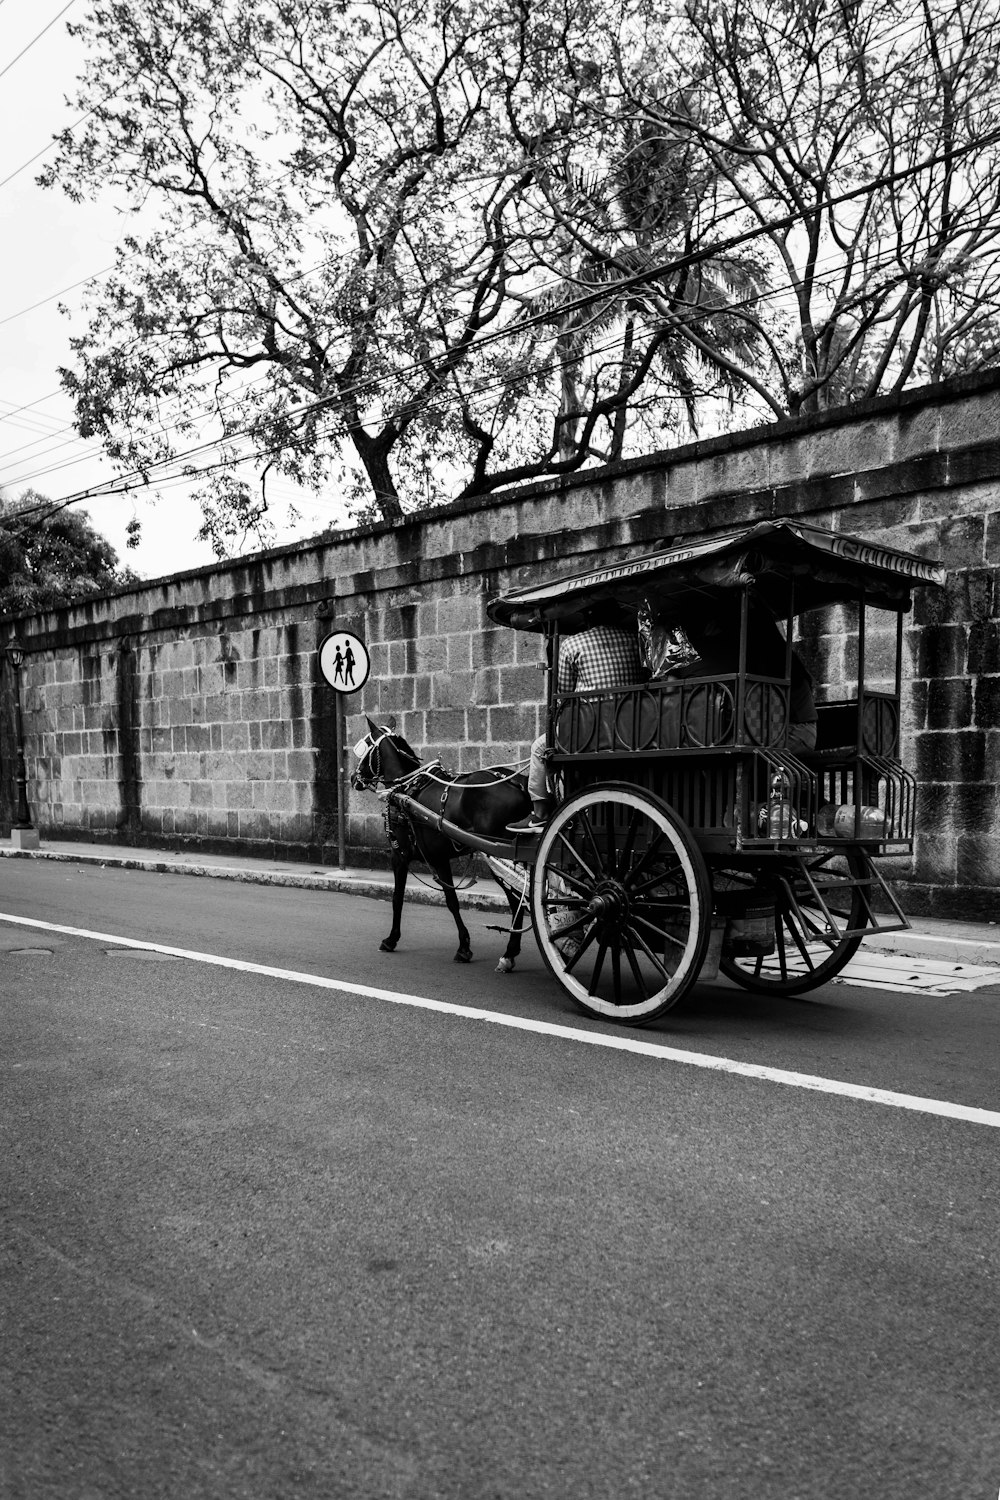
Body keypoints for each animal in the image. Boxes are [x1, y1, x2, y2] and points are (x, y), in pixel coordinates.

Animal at [352, 717, 539, 972]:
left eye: (365, 748)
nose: (353, 778)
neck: (407, 788)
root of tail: (518, 783)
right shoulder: (436, 858)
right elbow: (449, 900)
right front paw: (464, 945)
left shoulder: (402, 855)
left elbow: (400, 898)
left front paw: (391, 939)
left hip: (500, 855)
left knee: (517, 900)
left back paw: (509, 954)